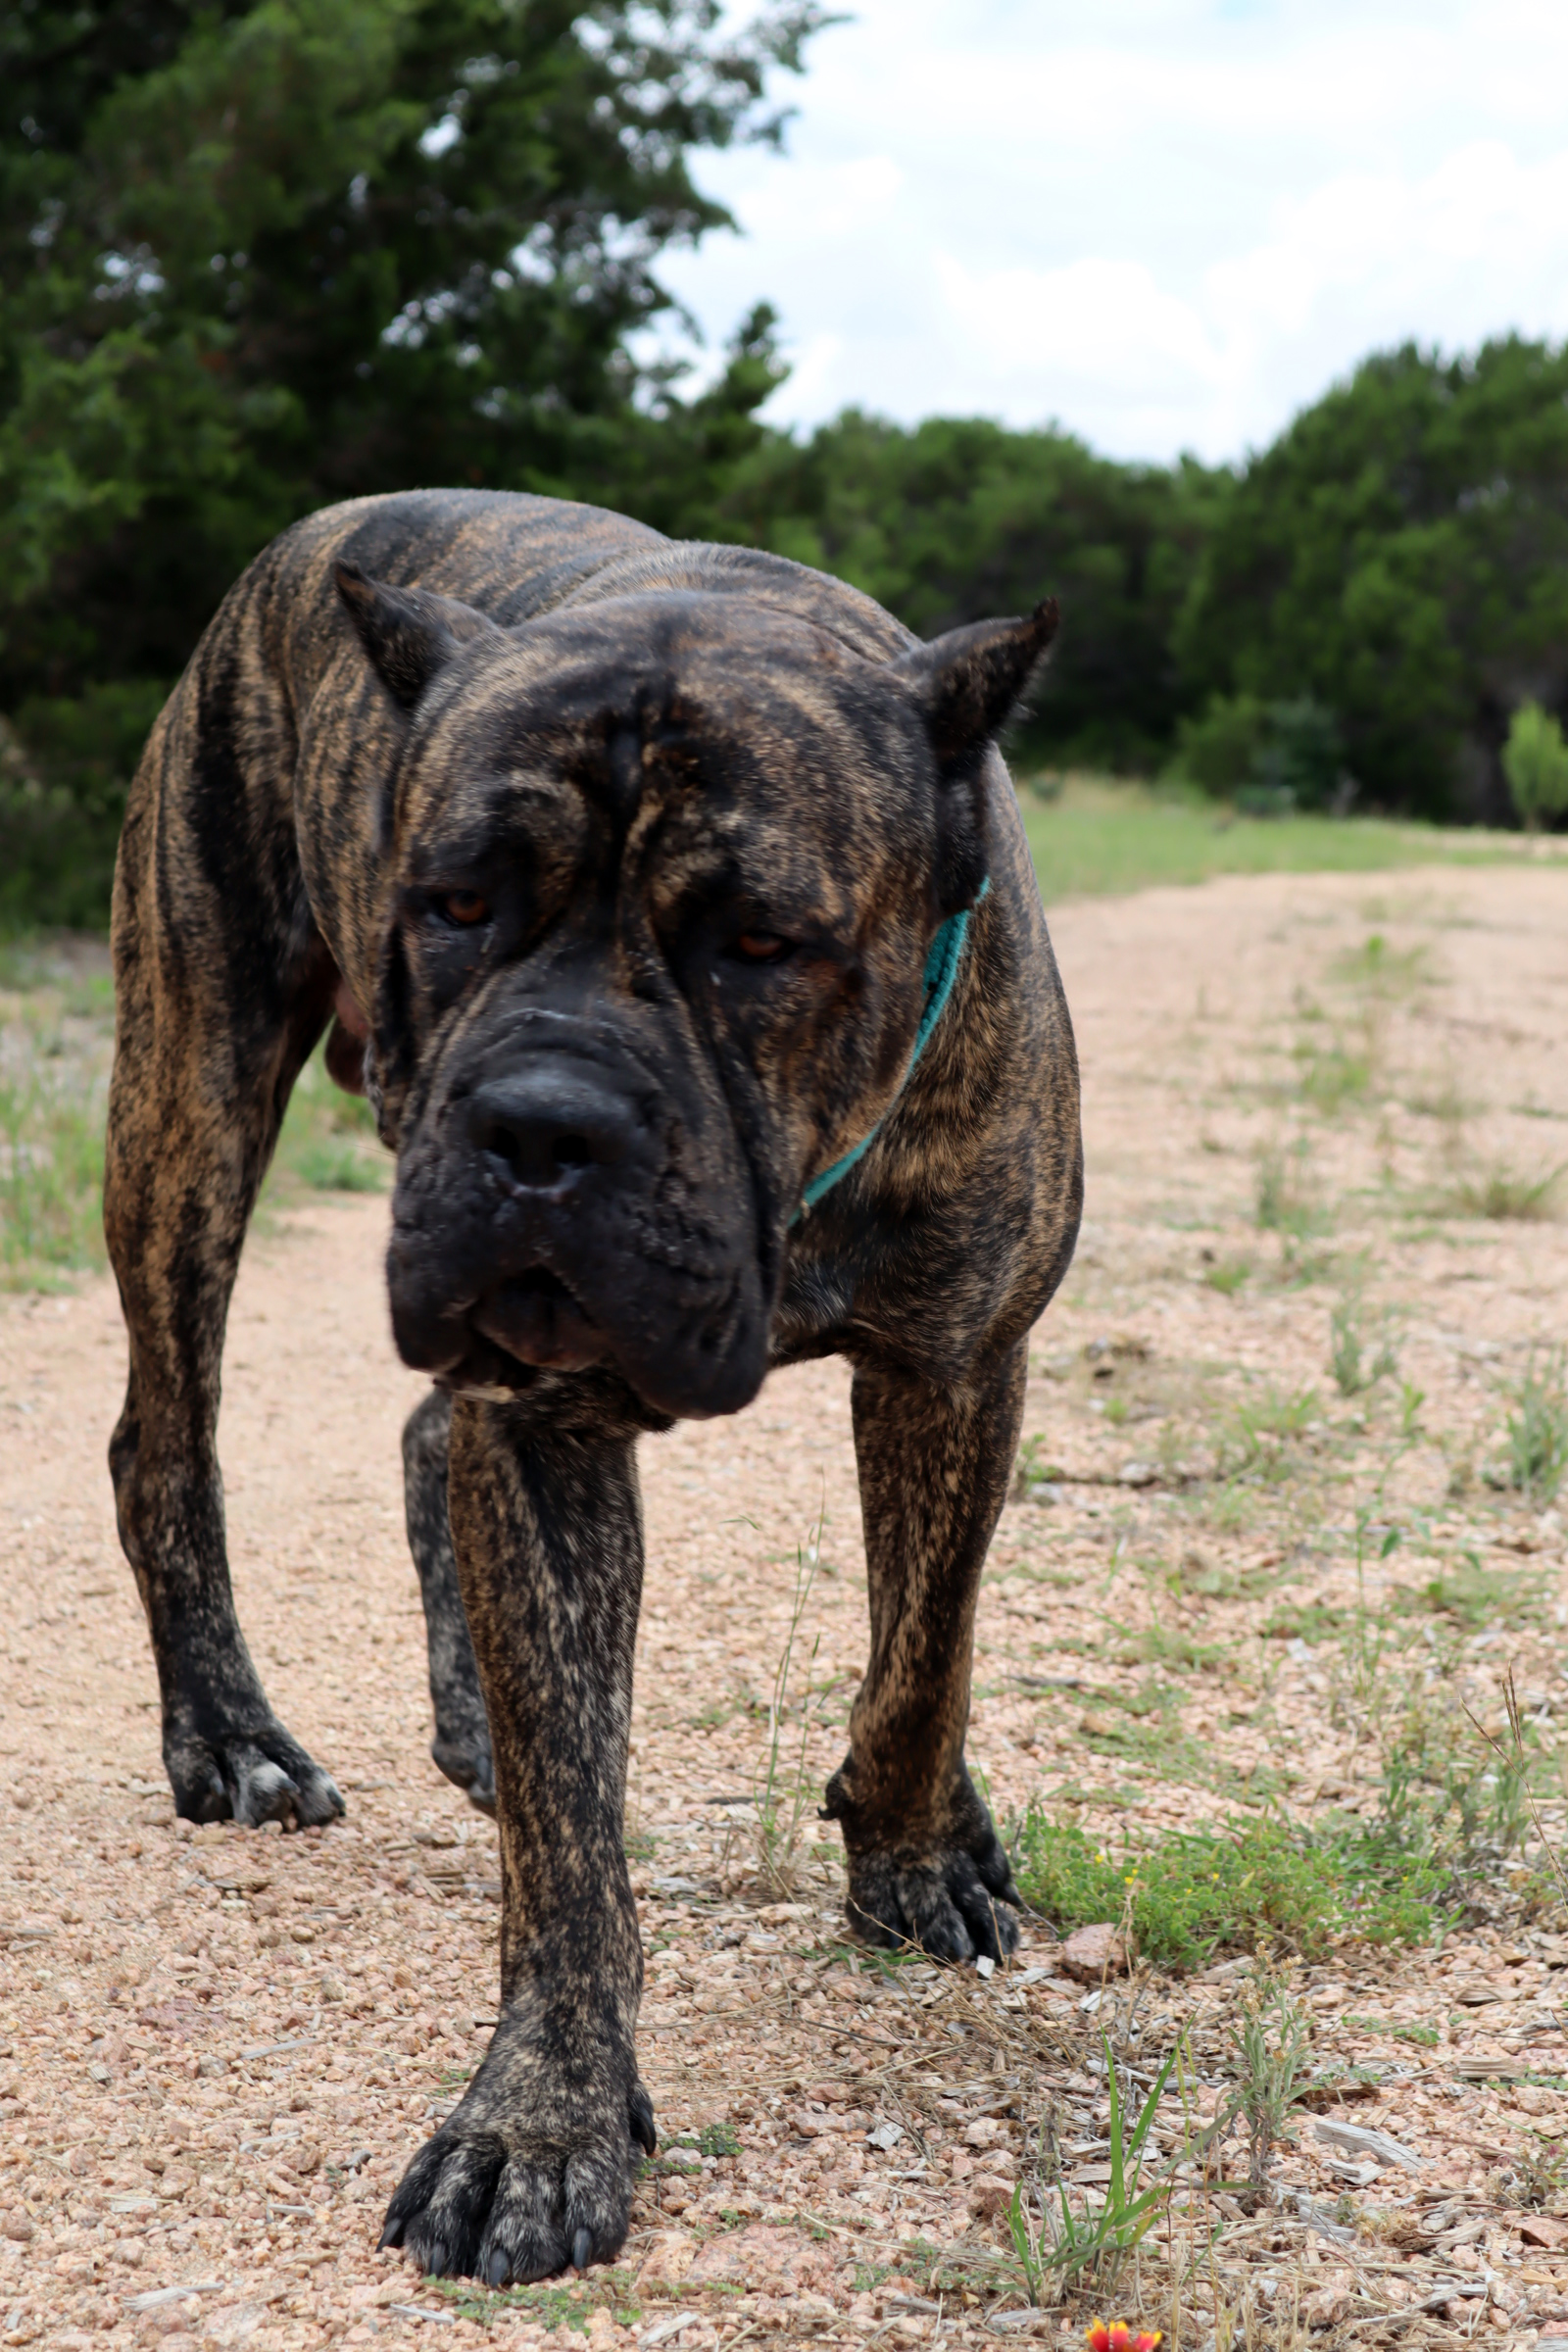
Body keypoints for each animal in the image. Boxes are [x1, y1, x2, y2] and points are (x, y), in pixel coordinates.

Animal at [98, 491, 1081, 2277]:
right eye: (451, 903)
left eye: (763, 943)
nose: (541, 1120)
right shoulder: (551, 1426)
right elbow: (568, 1843)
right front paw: (539, 2120)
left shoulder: (959, 1363)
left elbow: (926, 1650)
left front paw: (916, 1848)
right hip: (190, 1097)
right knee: (165, 1442)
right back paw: (235, 1737)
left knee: (426, 1435)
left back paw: (462, 1720)